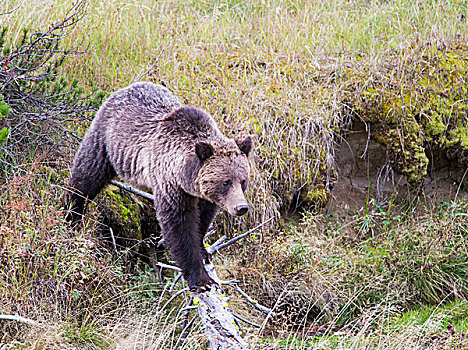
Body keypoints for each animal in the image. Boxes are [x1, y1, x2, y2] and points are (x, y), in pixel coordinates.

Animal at [66, 80, 252, 292]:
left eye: (243, 181)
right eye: (226, 181)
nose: (241, 207)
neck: (186, 176)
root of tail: (126, 88)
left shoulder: (204, 196)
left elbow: (203, 219)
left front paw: (204, 251)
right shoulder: (170, 183)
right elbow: (179, 226)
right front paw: (201, 279)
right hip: (105, 140)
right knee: (86, 177)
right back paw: (72, 216)